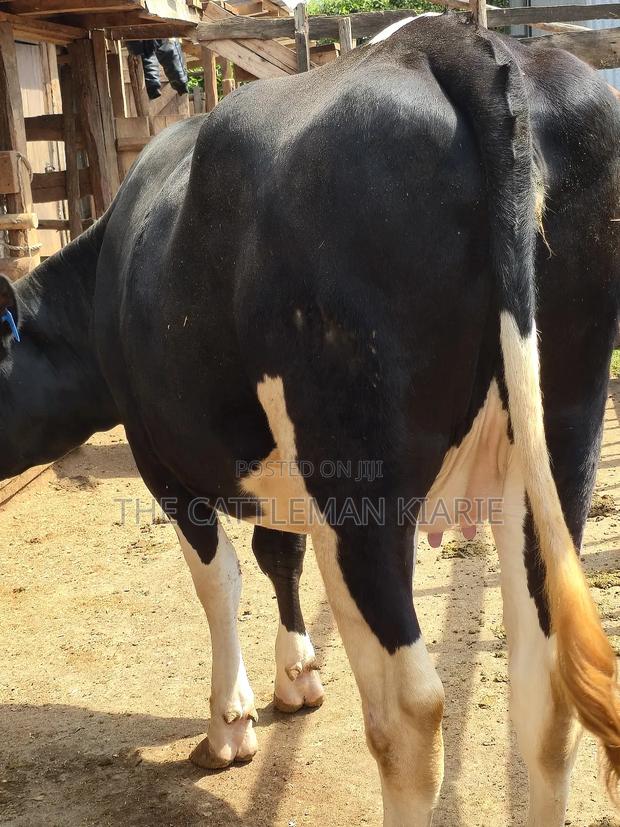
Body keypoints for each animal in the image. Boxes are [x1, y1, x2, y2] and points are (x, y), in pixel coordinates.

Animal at [0, 12, 618, 826]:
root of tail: (450, 41)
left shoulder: (160, 458)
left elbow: (221, 578)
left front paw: (230, 725)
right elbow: (277, 553)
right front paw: (296, 675)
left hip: (355, 482)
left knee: (410, 711)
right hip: (557, 450)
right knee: (547, 696)